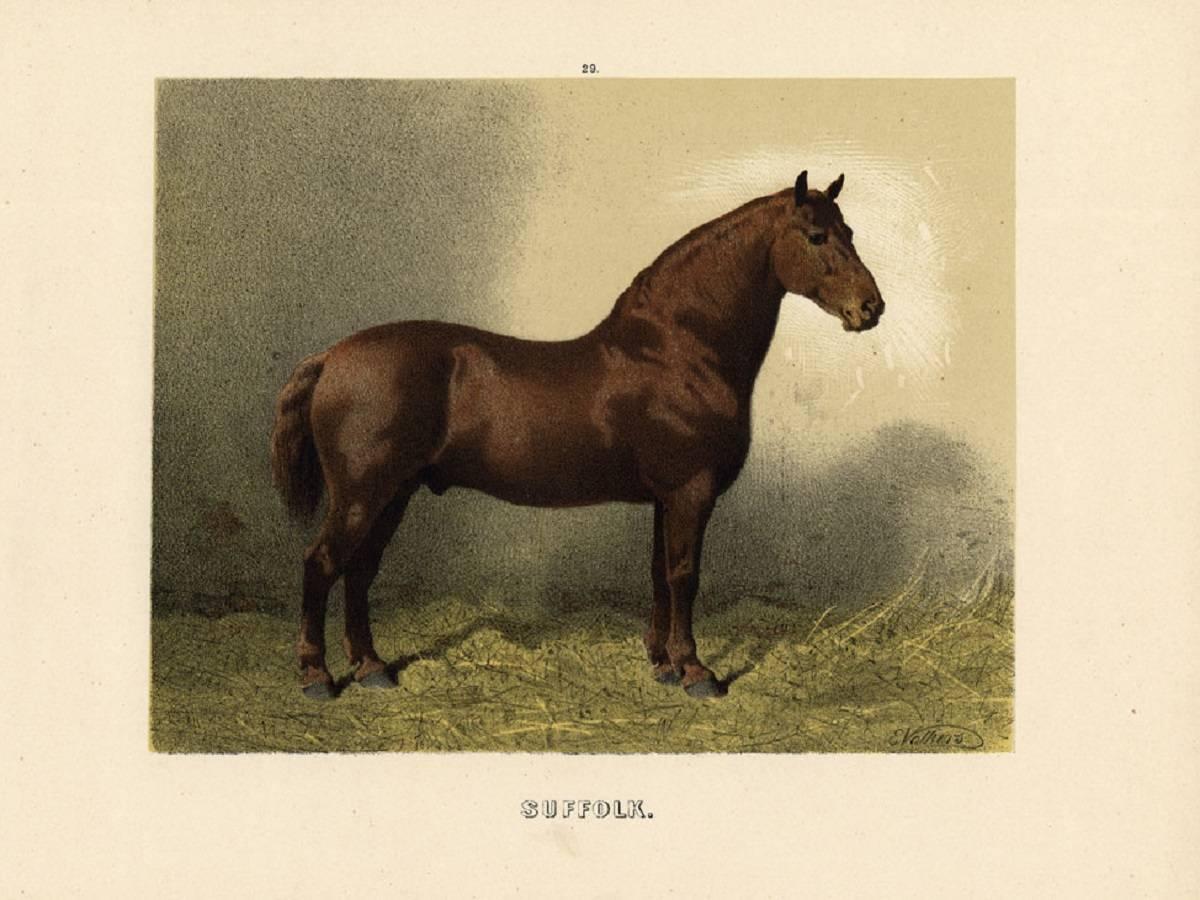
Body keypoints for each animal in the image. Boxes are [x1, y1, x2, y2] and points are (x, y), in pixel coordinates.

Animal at [270, 171, 884, 701]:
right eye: (817, 236)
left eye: (850, 232)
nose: (871, 308)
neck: (679, 351)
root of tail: (332, 358)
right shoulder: (690, 493)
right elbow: (685, 577)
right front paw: (695, 672)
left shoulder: (665, 499)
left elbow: (659, 575)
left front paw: (662, 664)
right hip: (362, 494)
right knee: (321, 564)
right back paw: (316, 676)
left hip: (393, 493)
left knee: (359, 571)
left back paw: (372, 668)